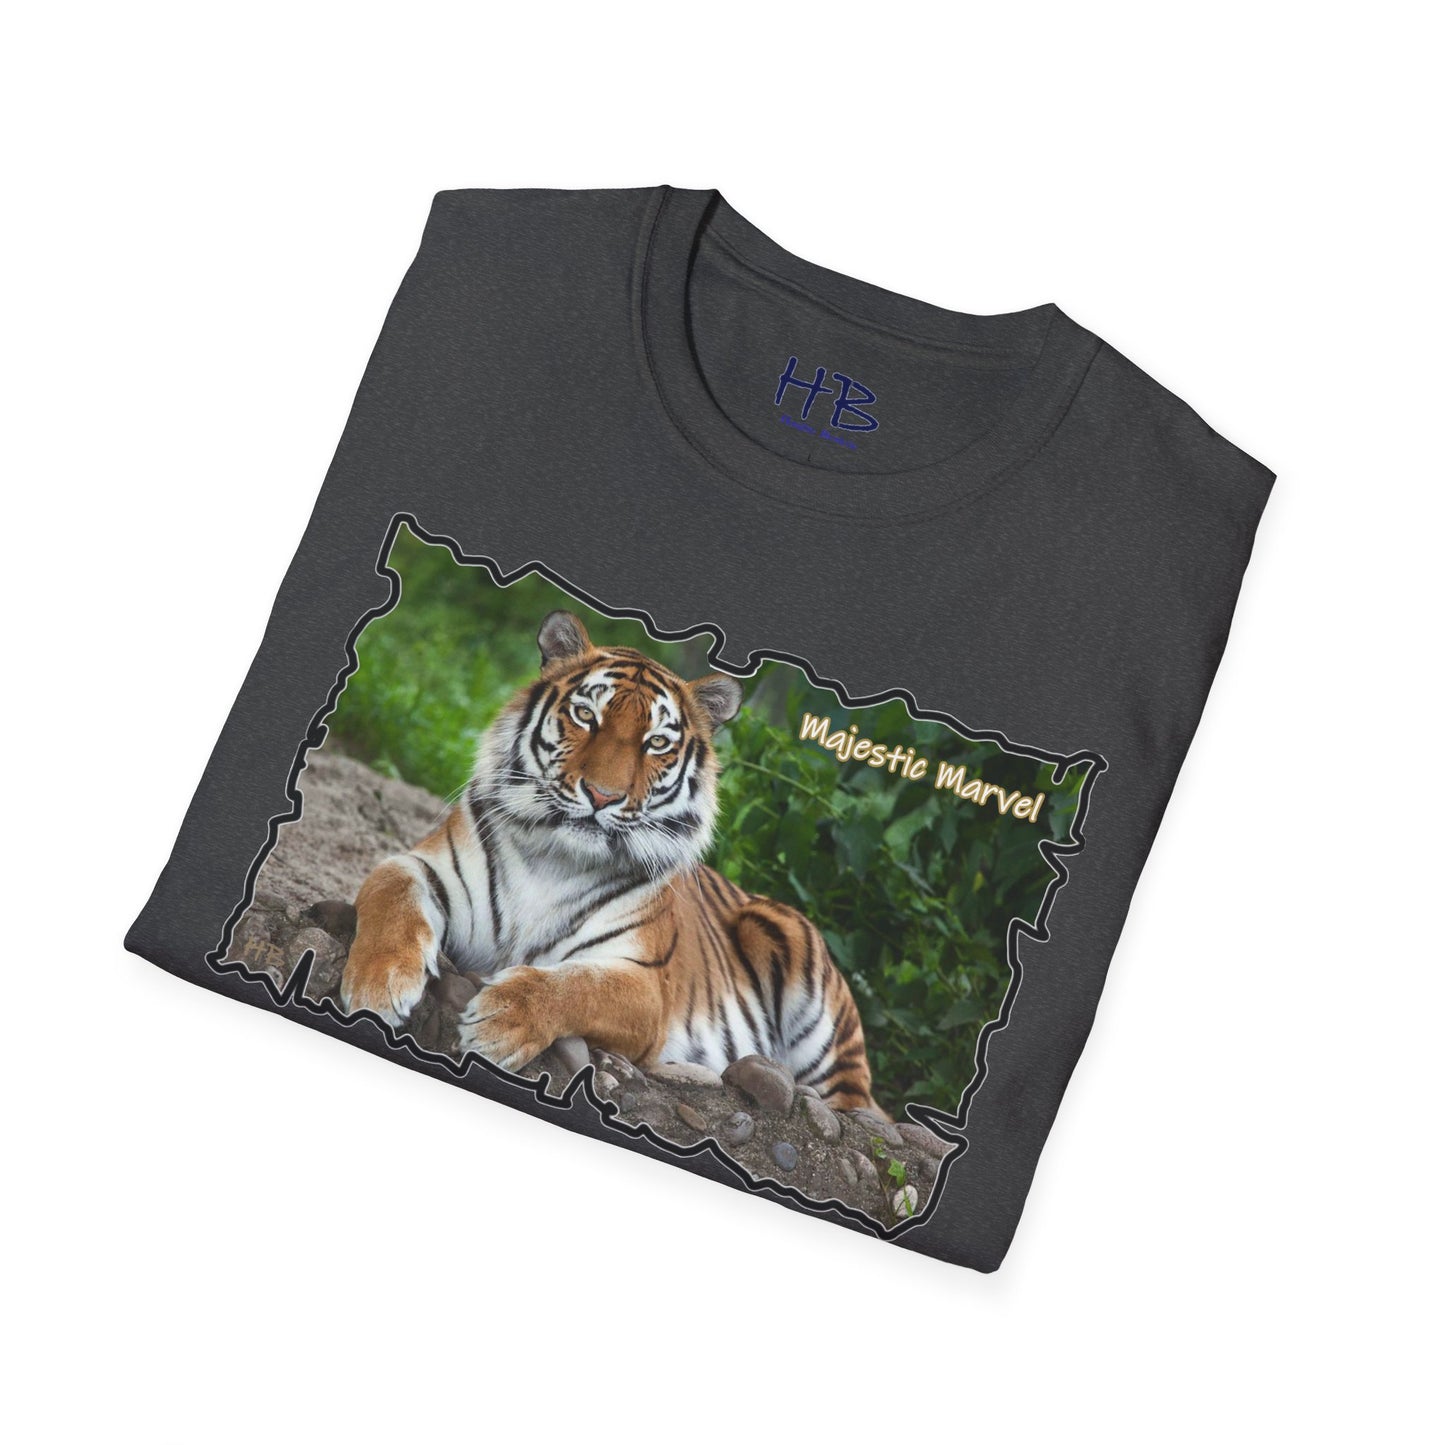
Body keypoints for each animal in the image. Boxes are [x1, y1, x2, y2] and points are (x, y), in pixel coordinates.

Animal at [338, 609, 881, 1114]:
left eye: (656, 742)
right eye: (585, 715)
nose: (602, 795)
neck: (556, 858)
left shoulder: (643, 984)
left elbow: (579, 985)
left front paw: (501, 1021)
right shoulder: (424, 865)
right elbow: (390, 889)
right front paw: (378, 986)